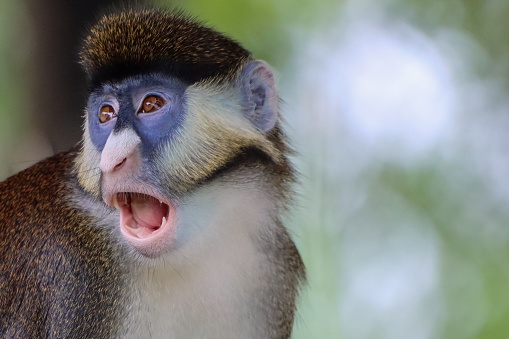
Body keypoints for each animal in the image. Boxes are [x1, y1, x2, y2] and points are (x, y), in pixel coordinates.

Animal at [0, 7, 302, 339]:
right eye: (105, 114)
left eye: (151, 104)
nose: (110, 160)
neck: (198, 247)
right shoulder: (70, 270)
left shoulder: (274, 268)